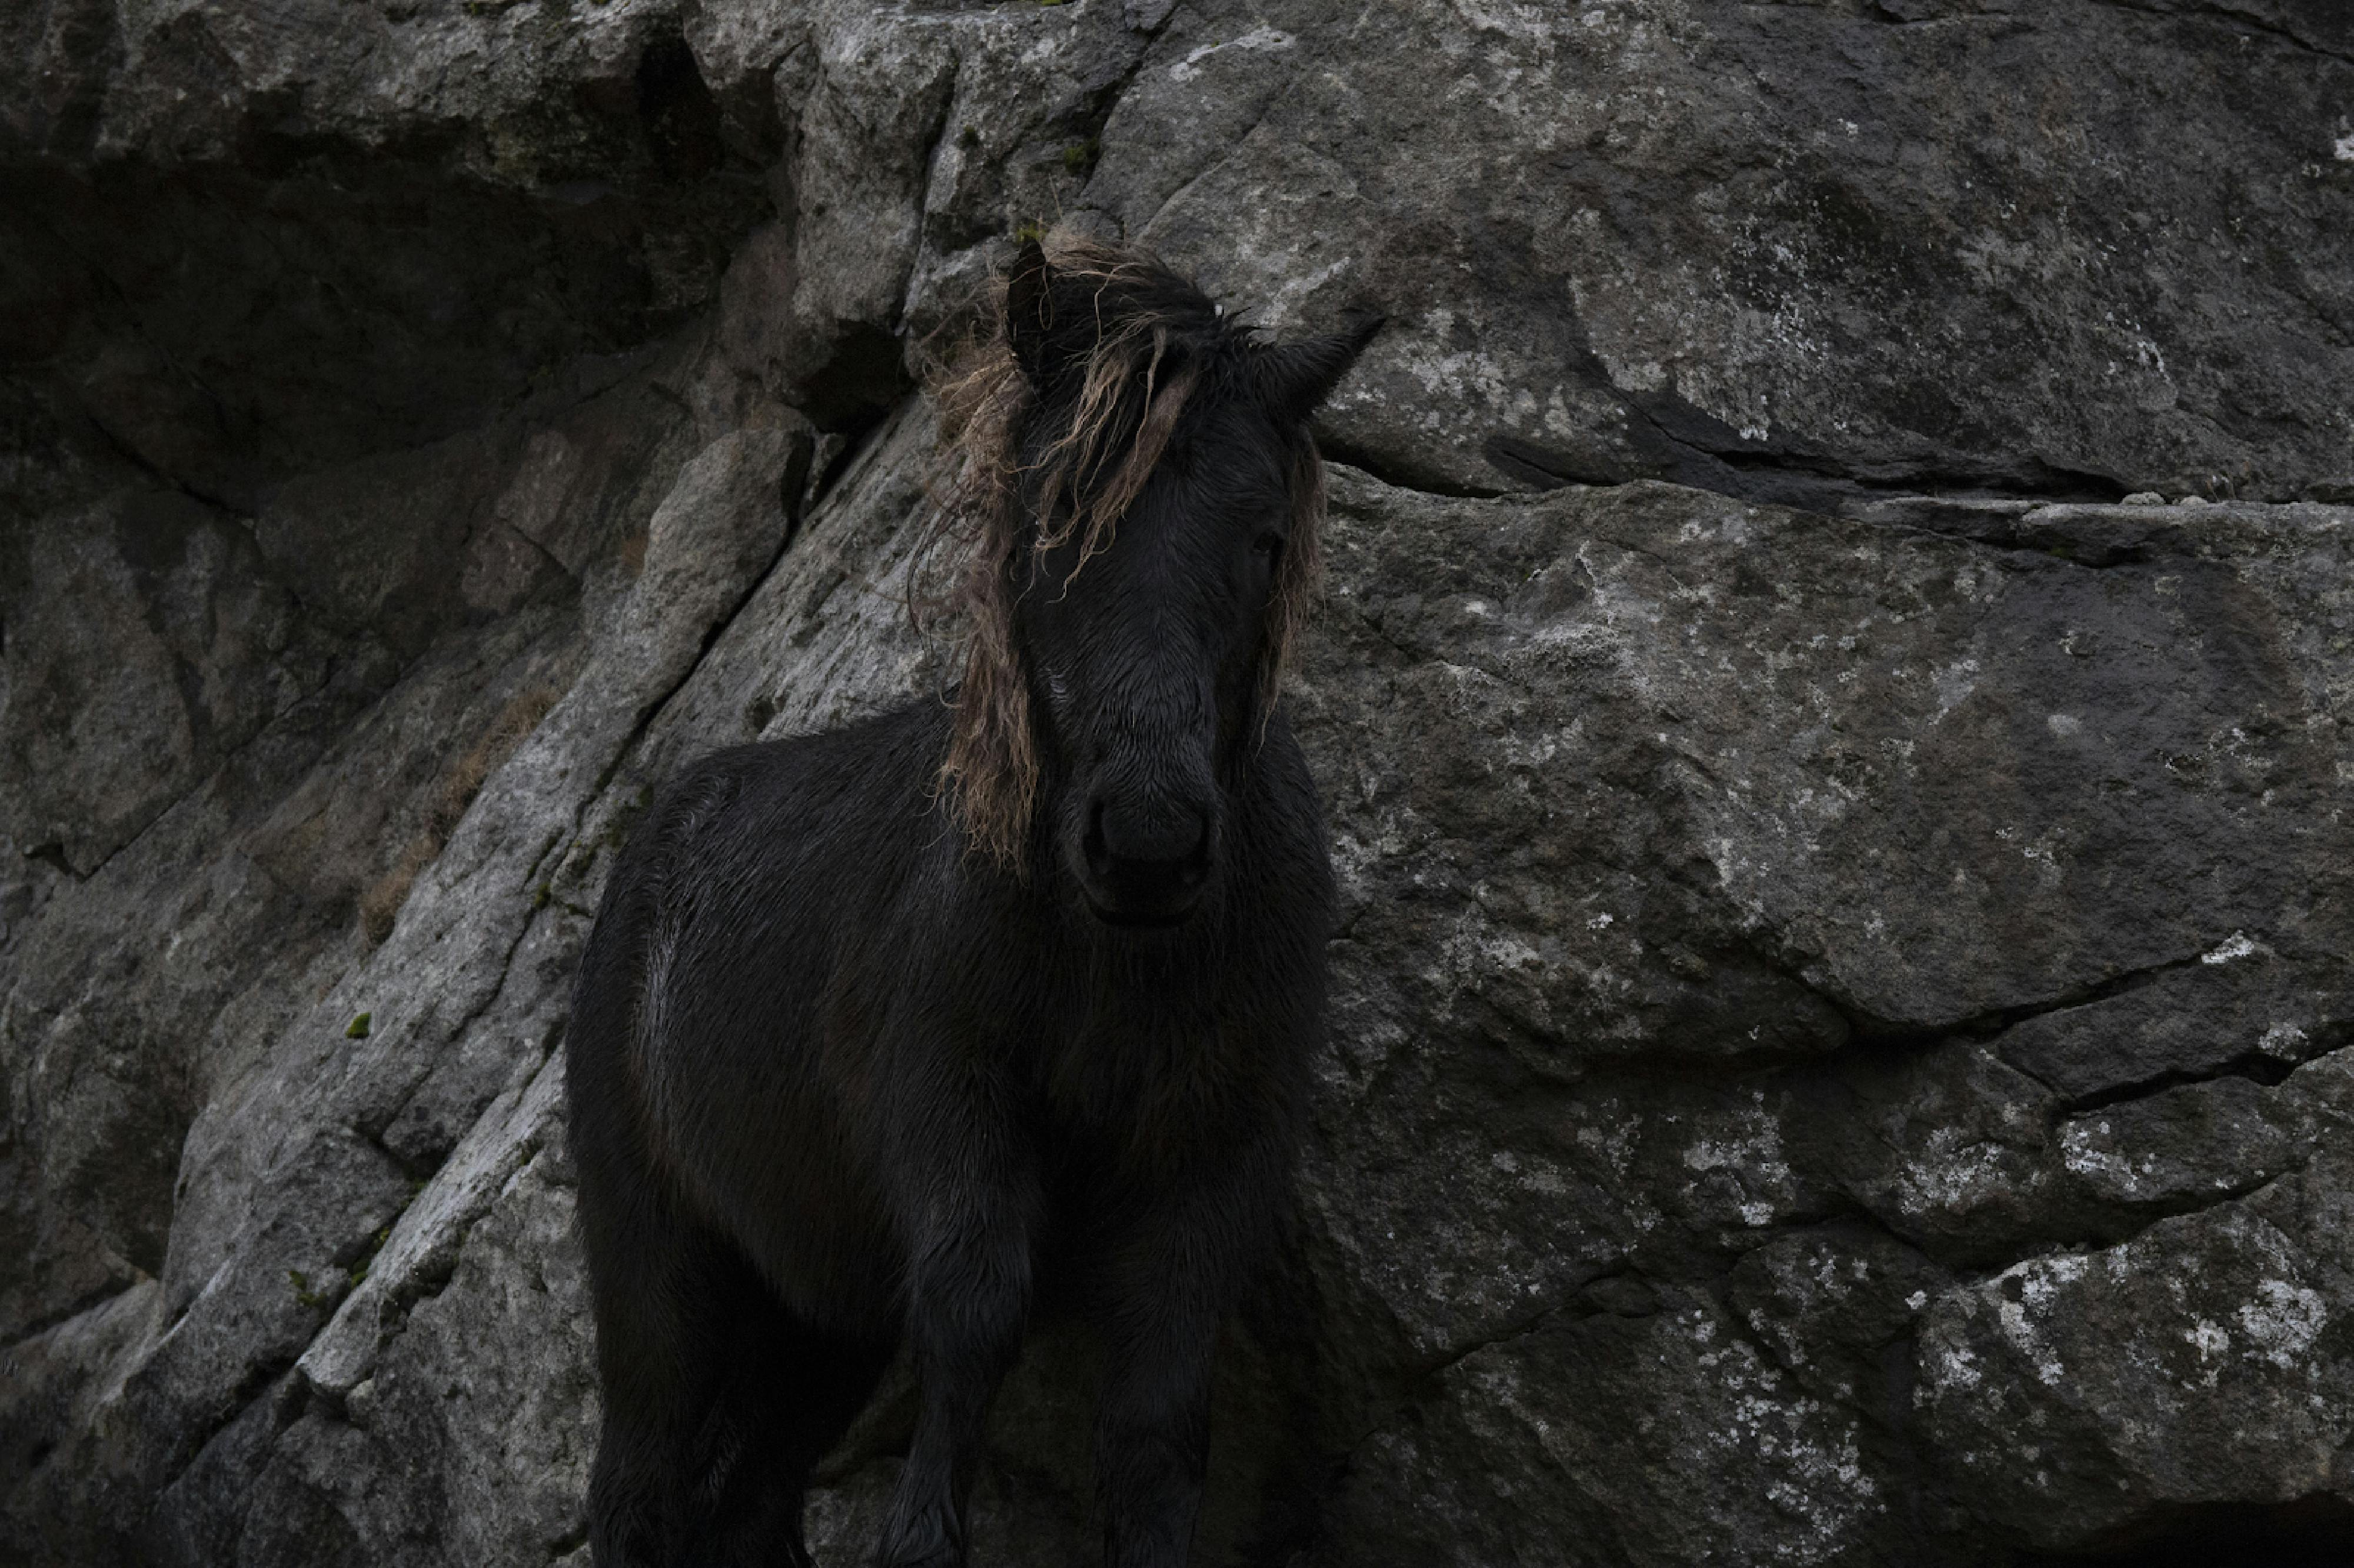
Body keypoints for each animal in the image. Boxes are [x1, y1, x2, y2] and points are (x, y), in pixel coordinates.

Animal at [563, 233, 1378, 1567]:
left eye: (1265, 539)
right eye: (1049, 518)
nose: (1147, 842)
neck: (1110, 960)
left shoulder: (1210, 1164)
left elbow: (1158, 1413)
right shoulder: (952, 1111)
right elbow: (975, 1311)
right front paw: (920, 1543)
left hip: (816, 1315)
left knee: (749, 1502)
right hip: (658, 1278)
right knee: (640, 1489)